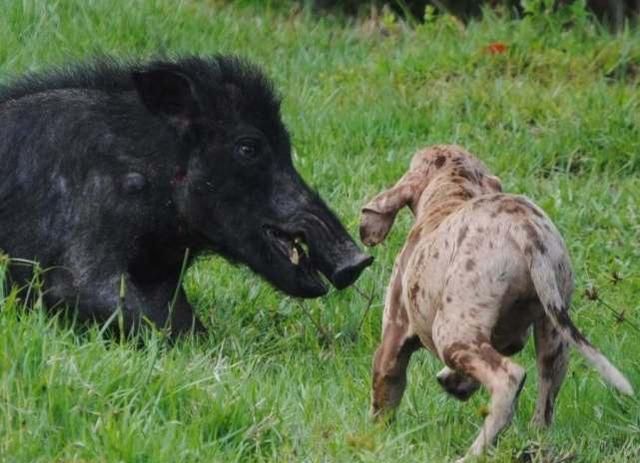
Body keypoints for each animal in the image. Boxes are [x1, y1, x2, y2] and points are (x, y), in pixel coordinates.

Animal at [358, 144, 632, 460]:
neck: (451, 194)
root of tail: (524, 227)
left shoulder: (393, 340)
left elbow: (383, 398)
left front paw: (377, 440)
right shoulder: (510, 337)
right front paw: (455, 381)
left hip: (450, 333)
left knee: (509, 380)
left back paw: (474, 452)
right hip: (554, 336)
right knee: (544, 405)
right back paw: (534, 443)